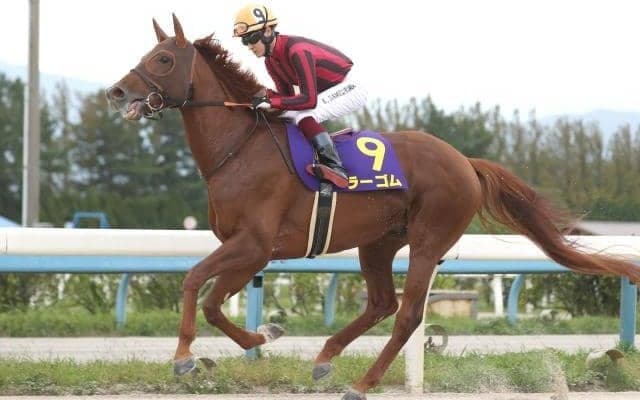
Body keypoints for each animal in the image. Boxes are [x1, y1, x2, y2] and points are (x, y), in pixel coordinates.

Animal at [106, 15, 640, 400]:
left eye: (163, 59)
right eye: (146, 55)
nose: (116, 91)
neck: (241, 148)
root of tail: (464, 161)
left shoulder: (253, 245)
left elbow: (198, 284)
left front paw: (185, 356)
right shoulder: (251, 251)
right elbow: (214, 301)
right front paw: (265, 334)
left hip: (428, 240)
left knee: (407, 315)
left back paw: (362, 384)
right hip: (379, 243)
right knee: (382, 302)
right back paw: (325, 358)